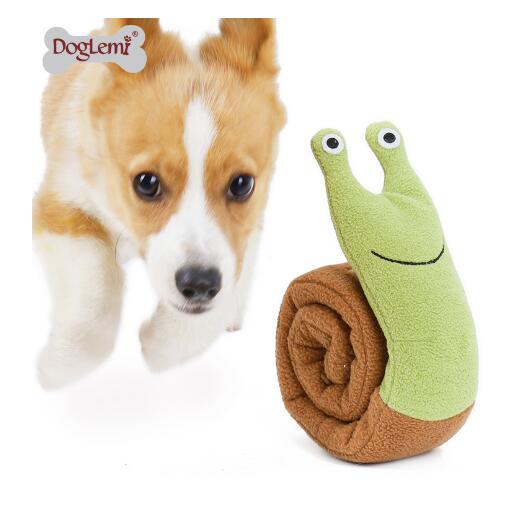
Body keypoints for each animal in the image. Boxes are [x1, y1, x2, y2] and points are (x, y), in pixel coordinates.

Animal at [33, 18, 285, 389]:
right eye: (147, 183)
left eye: (242, 184)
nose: (200, 285)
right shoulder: (60, 206)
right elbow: (94, 292)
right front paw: (62, 366)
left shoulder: (246, 234)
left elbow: (217, 301)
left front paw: (160, 345)